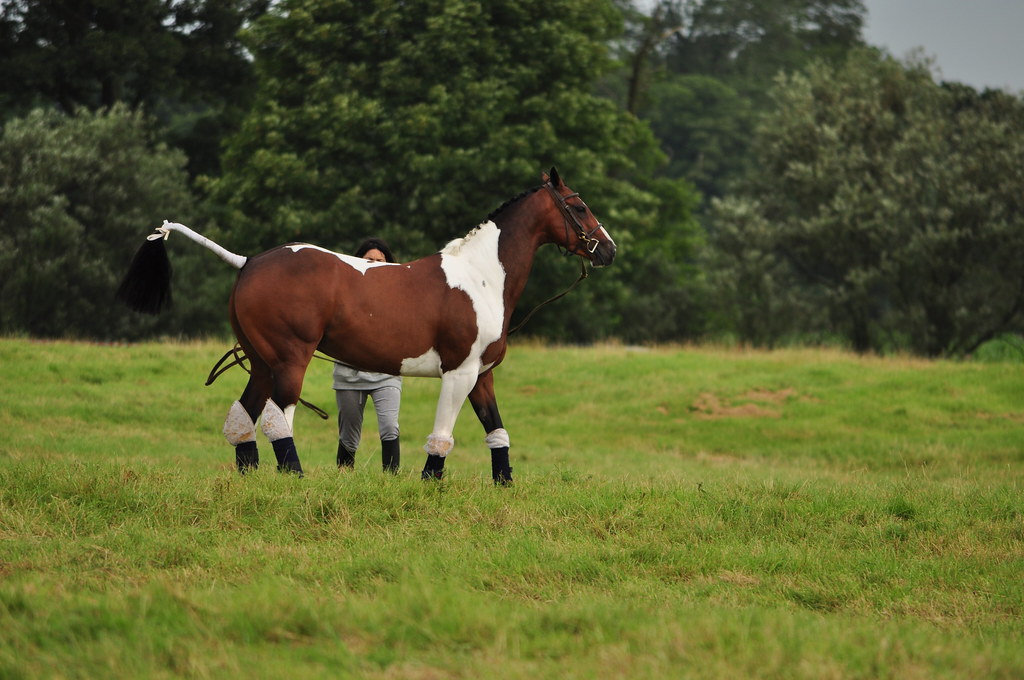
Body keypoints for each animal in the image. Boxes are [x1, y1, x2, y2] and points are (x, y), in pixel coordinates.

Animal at [116, 168, 616, 483]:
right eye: (579, 206)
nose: (609, 250)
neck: (481, 275)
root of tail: (249, 260)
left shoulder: (482, 375)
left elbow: (496, 431)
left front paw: (504, 483)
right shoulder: (459, 373)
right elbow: (443, 435)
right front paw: (430, 481)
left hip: (260, 362)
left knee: (243, 419)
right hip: (290, 360)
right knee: (278, 418)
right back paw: (293, 476)